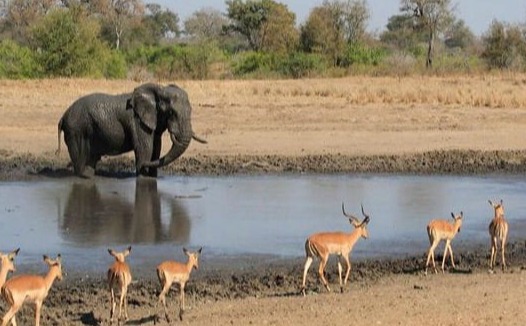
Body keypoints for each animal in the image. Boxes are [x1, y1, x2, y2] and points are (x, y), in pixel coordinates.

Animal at [57, 83, 206, 177]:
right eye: (171, 113)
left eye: (191, 110)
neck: (159, 90)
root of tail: (63, 116)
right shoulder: (137, 121)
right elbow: (145, 150)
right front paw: (143, 176)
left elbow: (156, 150)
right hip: (76, 131)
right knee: (80, 165)